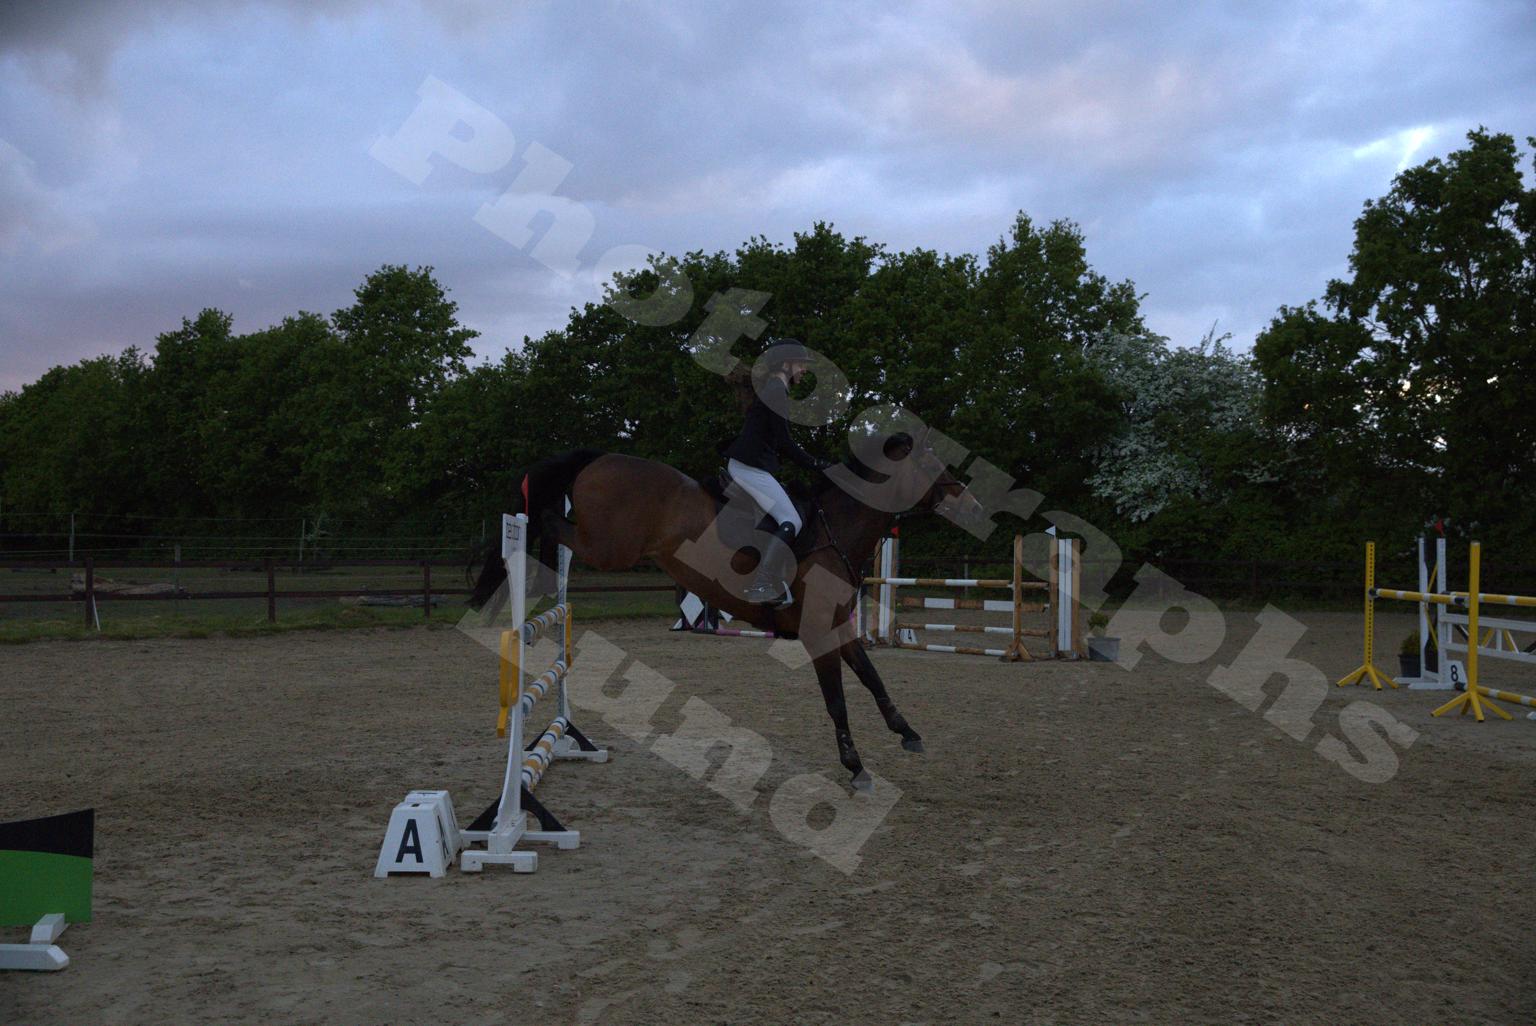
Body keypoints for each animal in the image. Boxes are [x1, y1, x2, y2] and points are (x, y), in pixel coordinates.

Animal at [470, 430, 985, 790]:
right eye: (929, 464)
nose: (972, 504)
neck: (836, 528)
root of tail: (602, 458)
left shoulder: (839, 628)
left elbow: (874, 679)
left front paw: (907, 732)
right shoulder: (819, 635)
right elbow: (837, 700)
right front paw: (855, 767)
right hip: (608, 547)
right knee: (548, 519)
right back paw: (533, 567)